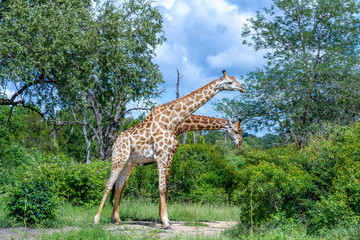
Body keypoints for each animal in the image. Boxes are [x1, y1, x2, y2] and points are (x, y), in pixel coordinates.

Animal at [93, 70, 246, 228]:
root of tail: (116, 142)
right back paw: (96, 219)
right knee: (108, 184)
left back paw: (116, 219)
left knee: (118, 186)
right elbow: (162, 187)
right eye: (229, 82)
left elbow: (165, 186)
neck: (174, 121)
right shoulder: (162, 154)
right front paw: (165, 222)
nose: (243, 89)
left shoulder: (169, 154)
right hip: (119, 158)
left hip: (129, 162)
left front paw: (164, 219)